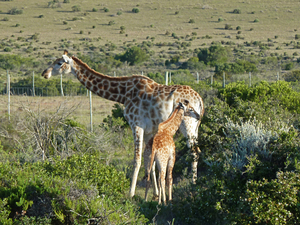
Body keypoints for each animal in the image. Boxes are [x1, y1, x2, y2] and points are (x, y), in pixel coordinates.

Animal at [41, 50, 204, 197]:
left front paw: (131, 193)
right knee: (197, 150)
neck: (123, 94)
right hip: (195, 126)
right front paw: (155, 193)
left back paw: (193, 185)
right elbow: (150, 160)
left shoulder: (136, 124)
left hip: (187, 124)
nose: (44, 73)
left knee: (194, 151)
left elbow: (137, 159)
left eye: (59, 63)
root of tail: (200, 100)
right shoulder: (149, 129)